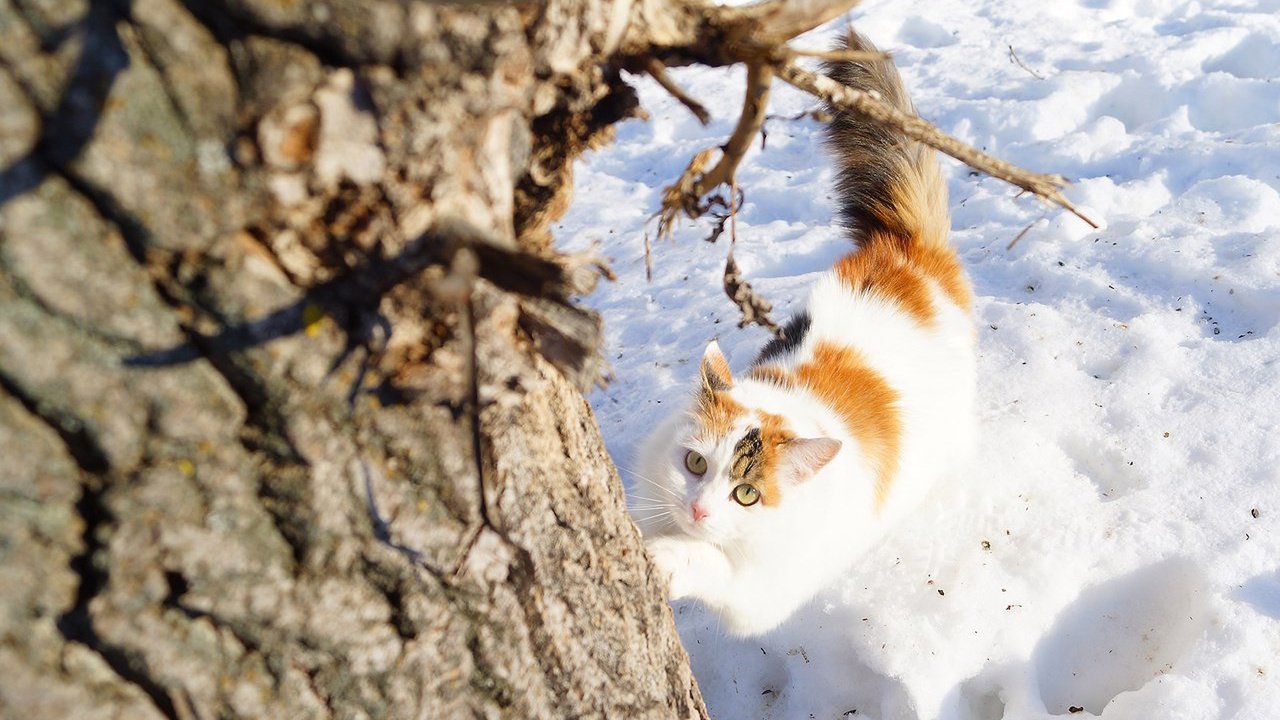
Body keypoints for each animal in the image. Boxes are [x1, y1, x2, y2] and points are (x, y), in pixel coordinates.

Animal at [624, 28, 972, 632]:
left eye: (747, 495)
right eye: (695, 463)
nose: (698, 509)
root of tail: (910, 249)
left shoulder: (760, 593)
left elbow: (707, 561)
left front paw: (666, 558)